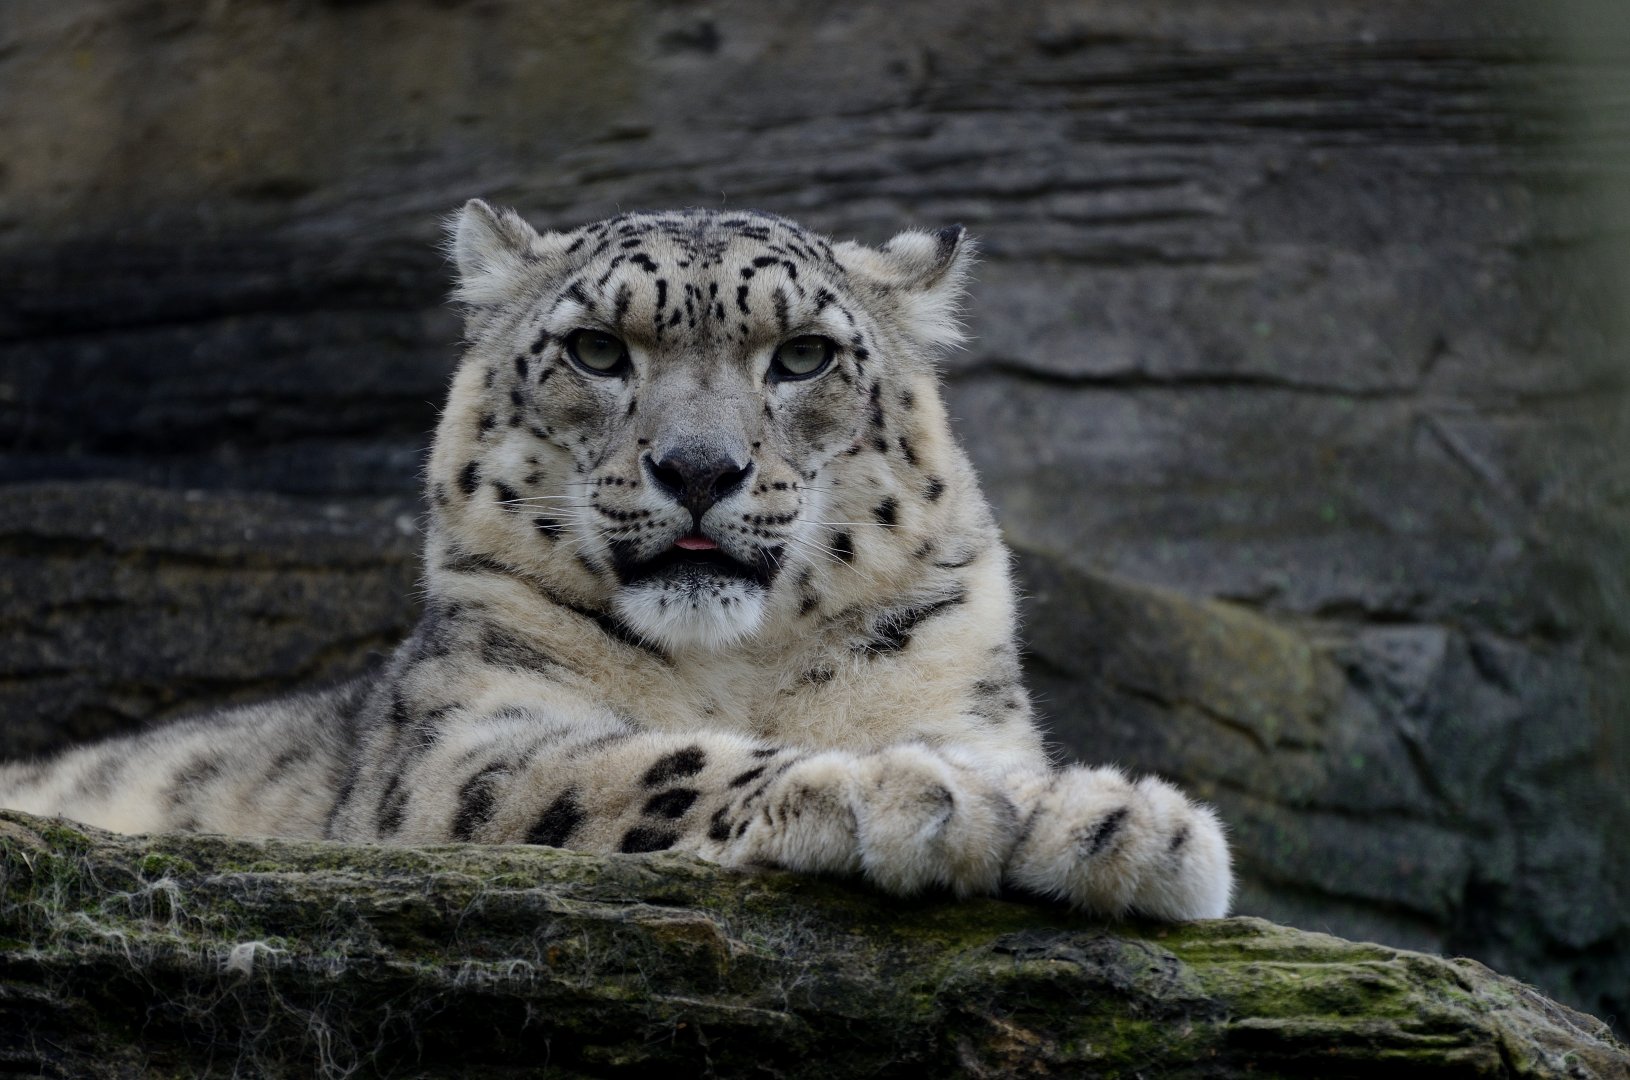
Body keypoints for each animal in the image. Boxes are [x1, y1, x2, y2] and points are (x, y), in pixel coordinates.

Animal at [0, 202, 1232, 920]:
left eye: (804, 356)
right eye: (597, 349)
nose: (697, 468)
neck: (738, 666)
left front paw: (1116, 821)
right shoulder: (462, 752)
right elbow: (648, 765)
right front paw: (904, 791)